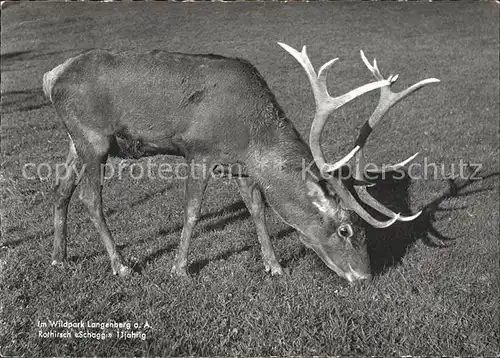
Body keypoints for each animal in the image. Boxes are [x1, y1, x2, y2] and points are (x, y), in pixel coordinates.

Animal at [43, 42, 440, 282]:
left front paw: (274, 266)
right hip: (93, 138)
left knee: (60, 189)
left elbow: (257, 210)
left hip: (76, 140)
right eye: (346, 230)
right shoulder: (199, 152)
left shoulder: (241, 168)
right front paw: (179, 269)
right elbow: (192, 212)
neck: (250, 136)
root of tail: (51, 77)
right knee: (89, 198)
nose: (366, 276)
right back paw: (120, 265)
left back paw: (59, 257)